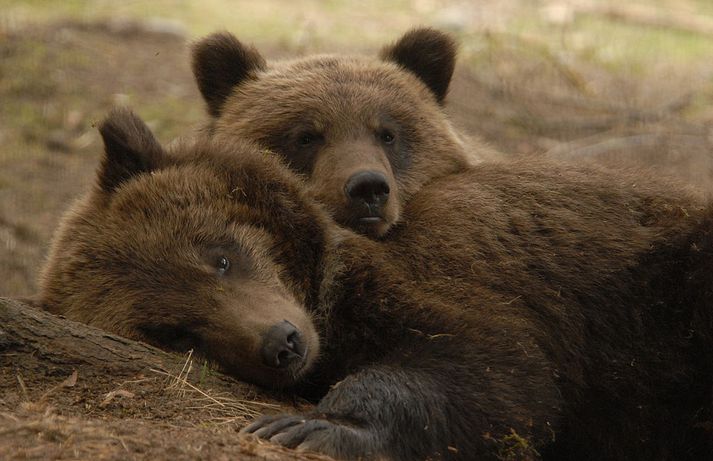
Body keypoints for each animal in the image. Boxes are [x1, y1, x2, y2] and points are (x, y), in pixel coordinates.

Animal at [37, 108, 712, 460]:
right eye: (176, 333)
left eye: (220, 256)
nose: (282, 343)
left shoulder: (434, 287)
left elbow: (490, 367)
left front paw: (315, 425)